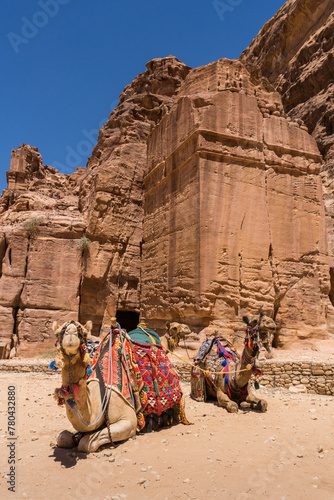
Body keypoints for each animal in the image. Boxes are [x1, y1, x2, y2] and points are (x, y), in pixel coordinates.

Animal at [52, 320, 188, 454]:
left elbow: (86, 443)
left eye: (84, 333)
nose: (71, 333)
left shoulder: (129, 422)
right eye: (58, 333)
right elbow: (62, 437)